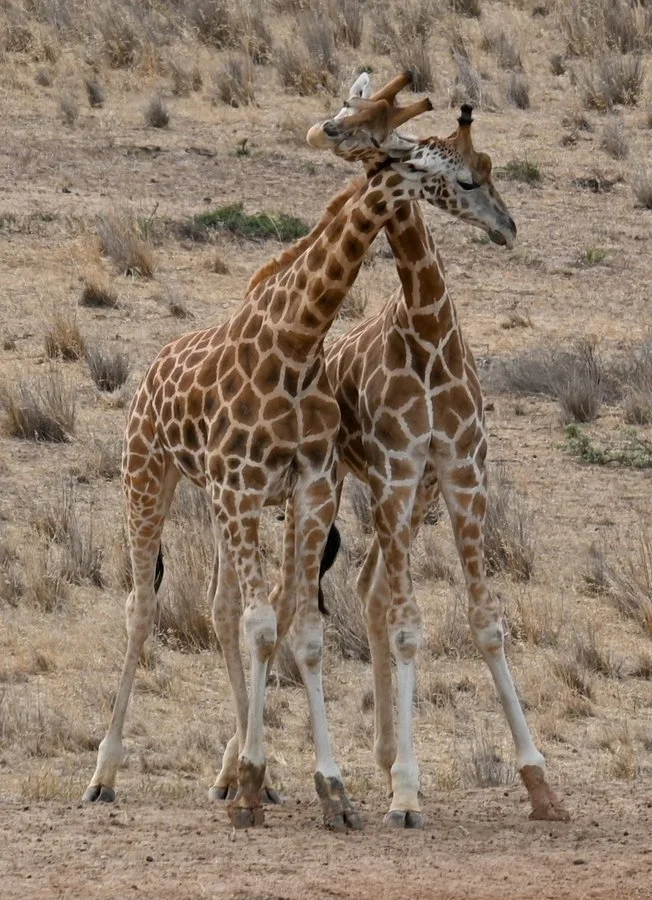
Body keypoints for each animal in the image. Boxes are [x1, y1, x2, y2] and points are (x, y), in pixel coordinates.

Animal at [81, 80, 483, 831]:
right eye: (425, 160)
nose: (486, 200)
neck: (296, 342)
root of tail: (150, 367)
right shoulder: (246, 486)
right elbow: (266, 623)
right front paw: (260, 778)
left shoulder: (306, 485)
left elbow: (294, 628)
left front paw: (320, 787)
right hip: (146, 473)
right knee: (142, 608)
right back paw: (104, 775)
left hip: (218, 499)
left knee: (220, 608)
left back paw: (248, 773)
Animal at [301, 73, 570, 828]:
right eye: (464, 178)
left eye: (485, 170)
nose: (508, 227)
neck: (425, 329)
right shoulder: (396, 473)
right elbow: (411, 627)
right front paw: (406, 792)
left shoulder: (461, 471)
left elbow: (487, 623)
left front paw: (541, 785)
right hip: (351, 487)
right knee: (341, 597)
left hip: (412, 498)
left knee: (369, 587)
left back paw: (384, 755)